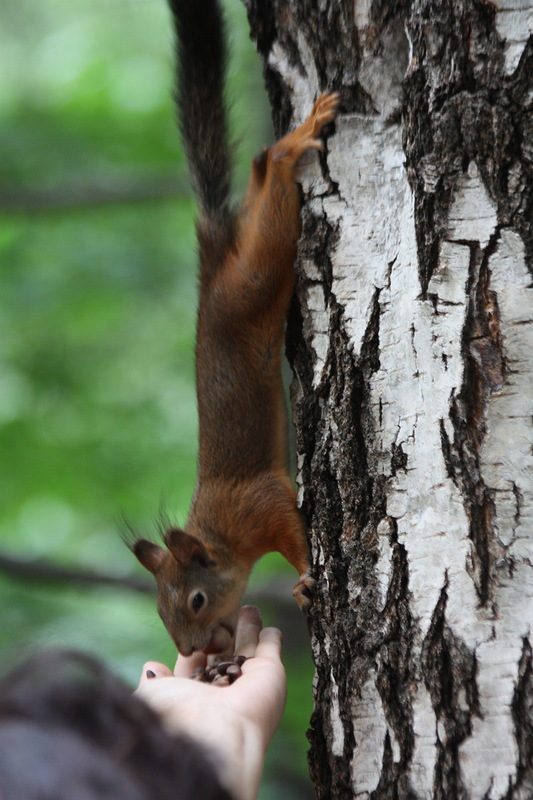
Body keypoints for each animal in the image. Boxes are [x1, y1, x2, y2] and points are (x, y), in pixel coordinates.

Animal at [129, 0, 336, 656]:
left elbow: (294, 532)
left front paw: (303, 580)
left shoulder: (262, 502)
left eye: (196, 599)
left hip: (256, 281)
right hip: (252, 266)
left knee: (269, 179)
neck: (220, 535)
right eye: (162, 613)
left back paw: (297, 140)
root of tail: (213, 268)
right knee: (256, 172)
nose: (194, 652)